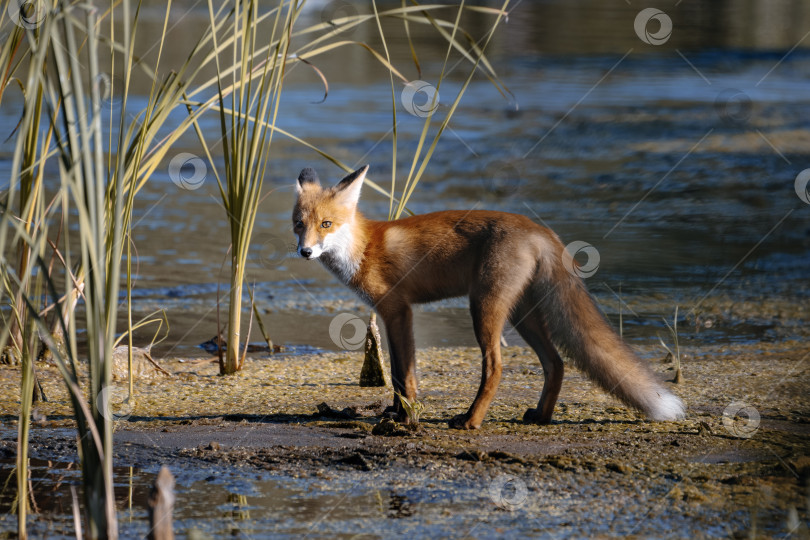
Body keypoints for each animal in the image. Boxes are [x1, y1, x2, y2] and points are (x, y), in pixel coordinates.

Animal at [290, 163, 680, 426]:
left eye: (326, 224)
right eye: (299, 224)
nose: (305, 252)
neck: (365, 248)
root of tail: (539, 229)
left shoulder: (398, 310)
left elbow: (406, 375)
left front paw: (405, 418)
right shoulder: (391, 315)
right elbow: (401, 373)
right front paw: (398, 414)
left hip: (483, 307)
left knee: (495, 366)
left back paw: (471, 420)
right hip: (523, 315)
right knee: (556, 363)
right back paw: (540, 416)